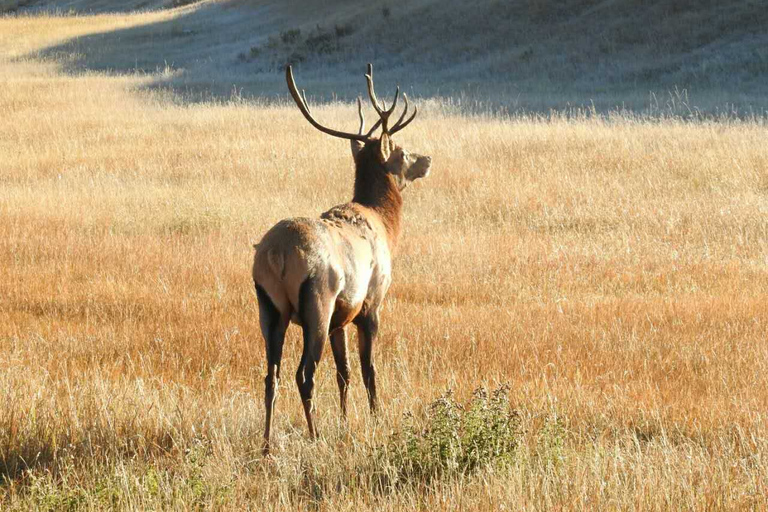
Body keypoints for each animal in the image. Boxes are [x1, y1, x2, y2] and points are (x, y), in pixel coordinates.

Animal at [254, 63, 428, 452]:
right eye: (401, 152)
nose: (426, 159)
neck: (385, 225)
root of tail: (276, 255)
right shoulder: (371, 302)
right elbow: (368, 370)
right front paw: (377, 419)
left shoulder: (341, 318)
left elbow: (343, 372)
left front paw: (346, 422)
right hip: (317, 300)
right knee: (304, 374)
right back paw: (313, 435)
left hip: (269, 307)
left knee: (271, 374)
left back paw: (268, 444)